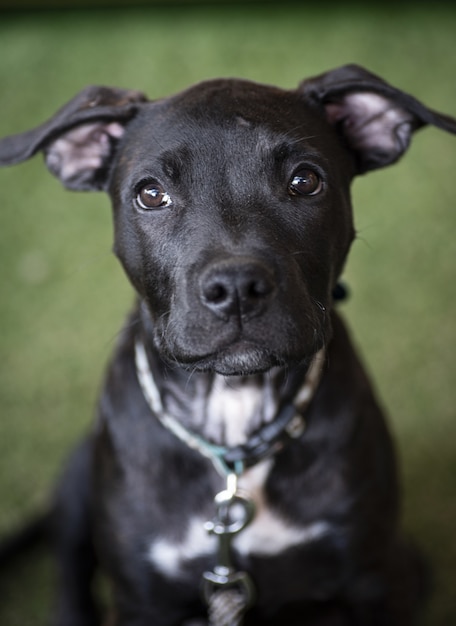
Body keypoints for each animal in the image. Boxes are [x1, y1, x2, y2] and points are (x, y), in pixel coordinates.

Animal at [0, 64, 456, 624]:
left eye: (305, 181)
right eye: (151, 194)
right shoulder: (142, 599)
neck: (234, 422)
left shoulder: (375, 576)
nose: (237, 287)